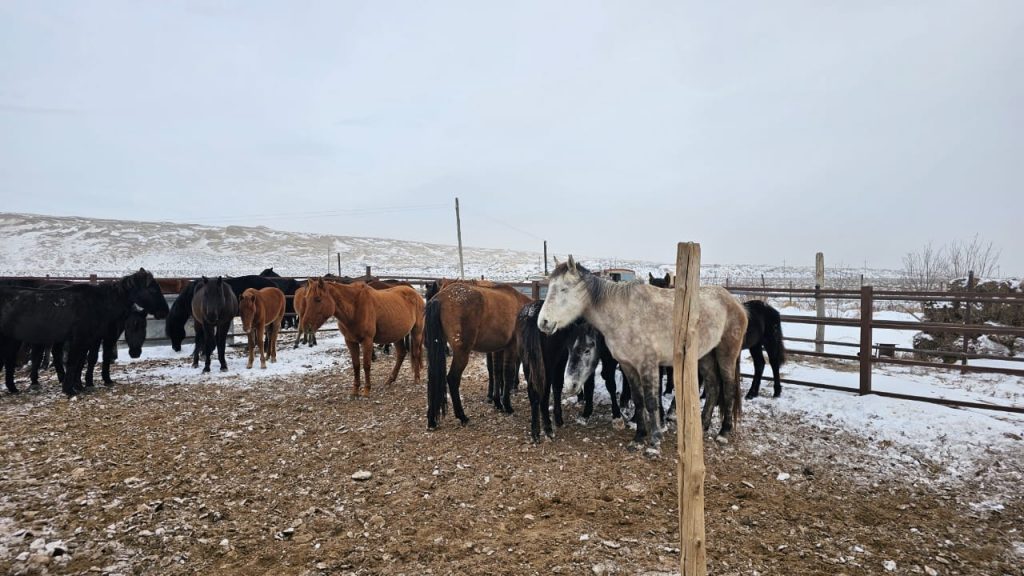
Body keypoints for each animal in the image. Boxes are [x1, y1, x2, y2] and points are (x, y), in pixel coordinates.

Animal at [0, 269, 168, 396]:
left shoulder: (91, 340)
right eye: (153, 289)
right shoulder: (82, 339)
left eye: (143, 327)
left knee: (10, 360)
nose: (165, 311)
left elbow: (82, 361)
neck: (99, 304)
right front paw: (71, 389)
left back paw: (14, 388)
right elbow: (75, 361)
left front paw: (79, 385)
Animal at [425, 281, 532, 429]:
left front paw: (497, 402)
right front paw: (507, 405)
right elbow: (507, 373)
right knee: (452, 379)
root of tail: (440, 298)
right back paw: (462, 416)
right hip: (462, 353)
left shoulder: (498, 349)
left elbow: (497, 373)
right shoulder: (511, 347)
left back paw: (432, 420)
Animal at [537, 257, 748, 454]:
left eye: (564, 289)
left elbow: (651, 402)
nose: (543, 323)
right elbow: (638, 400)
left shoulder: (649, 365)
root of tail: (735, 302)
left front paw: (654, 442)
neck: (623, 314)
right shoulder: (628, 366)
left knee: (728, 388)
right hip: (704, 356)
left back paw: (723, 432)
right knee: (713, 386)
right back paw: (703, 425)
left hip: (726, 354)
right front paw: (639, 437)